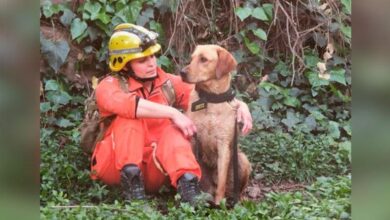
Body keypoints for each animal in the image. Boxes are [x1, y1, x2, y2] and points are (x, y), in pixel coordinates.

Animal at [181, 44, 251, 205]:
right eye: (191, 58)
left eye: (204, 59)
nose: (182, 73)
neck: (209, 99)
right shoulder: (193, 139)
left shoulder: (223, 145)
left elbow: (221, 182)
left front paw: (219, 204)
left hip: (242, 160)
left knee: (236, 187)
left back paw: (240, 198)